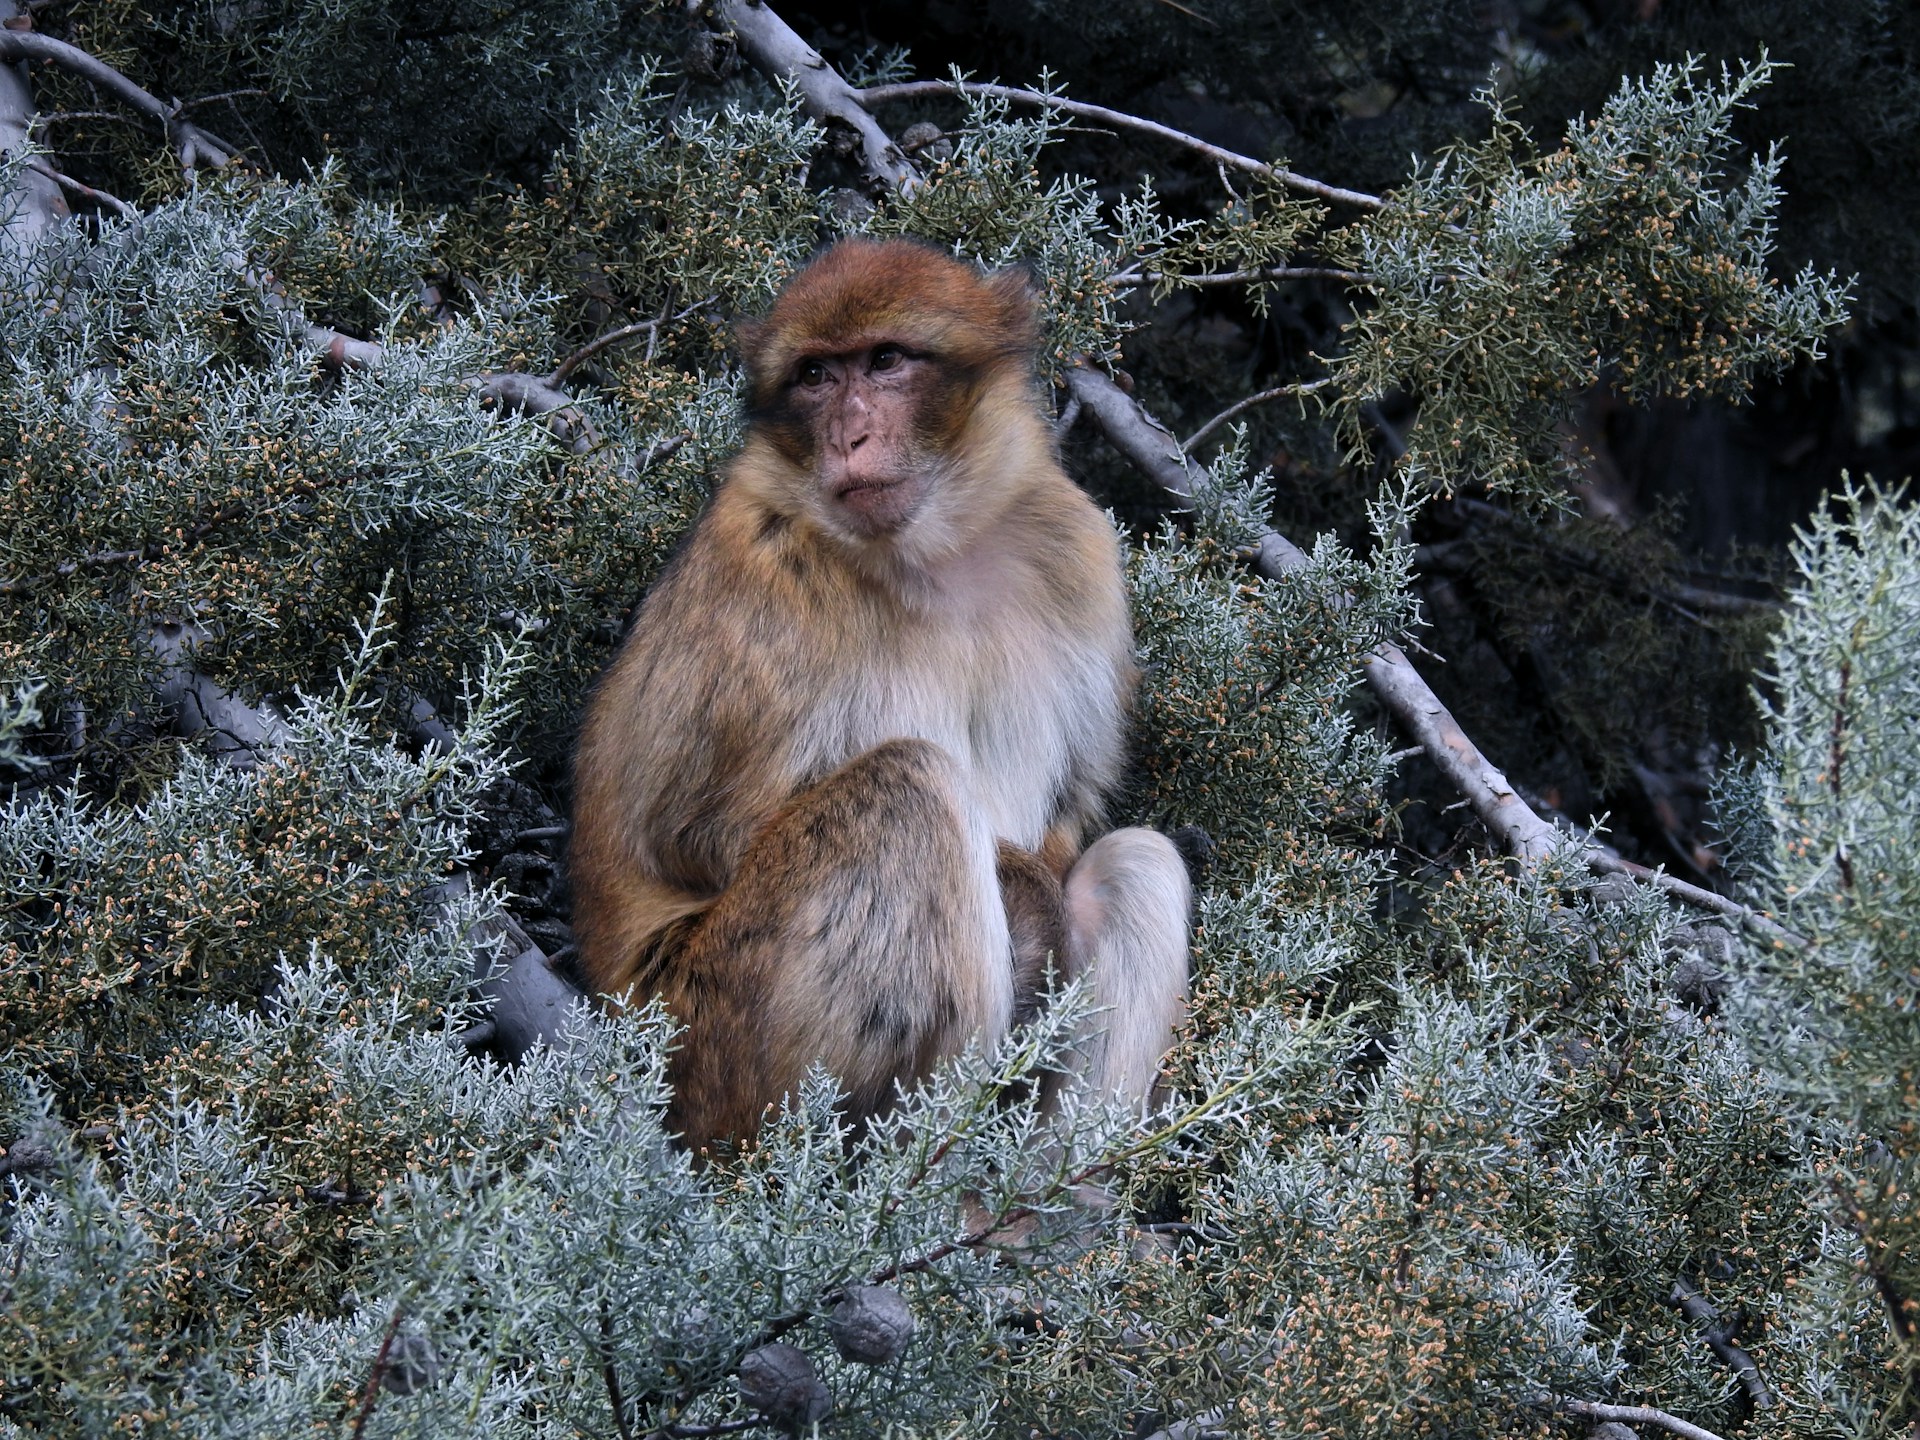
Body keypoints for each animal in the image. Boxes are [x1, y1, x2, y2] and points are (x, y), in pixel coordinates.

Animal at [568, 238, 1190, 1146]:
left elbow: (1072, 816)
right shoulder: (762, 575)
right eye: (816, 376)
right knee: (911, 786)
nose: (851, 435)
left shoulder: (1077, 546)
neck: (935, 554)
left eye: (887, 361)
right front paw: (1027, 904)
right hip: (713, 1041)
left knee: (1133, 865)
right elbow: (695, 836)